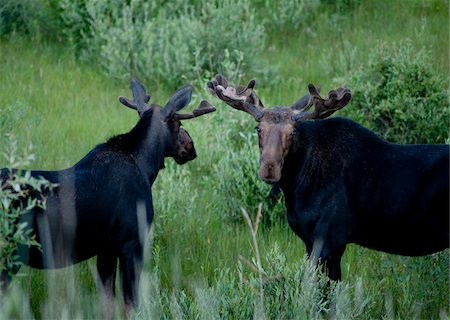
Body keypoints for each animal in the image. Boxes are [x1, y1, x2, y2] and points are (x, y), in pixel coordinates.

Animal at [0, 79, 214, 316]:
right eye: (178, 123)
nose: (191, 146)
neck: (147, 167)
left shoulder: (106, 249)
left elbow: (107, 304)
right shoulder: (132, 244)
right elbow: (130, 304)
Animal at [209, 74, 448, 280]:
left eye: (292, 132)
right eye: (258, 129)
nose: (269, 169)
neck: (296, 186)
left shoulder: (331, 241)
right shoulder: (310, 242)